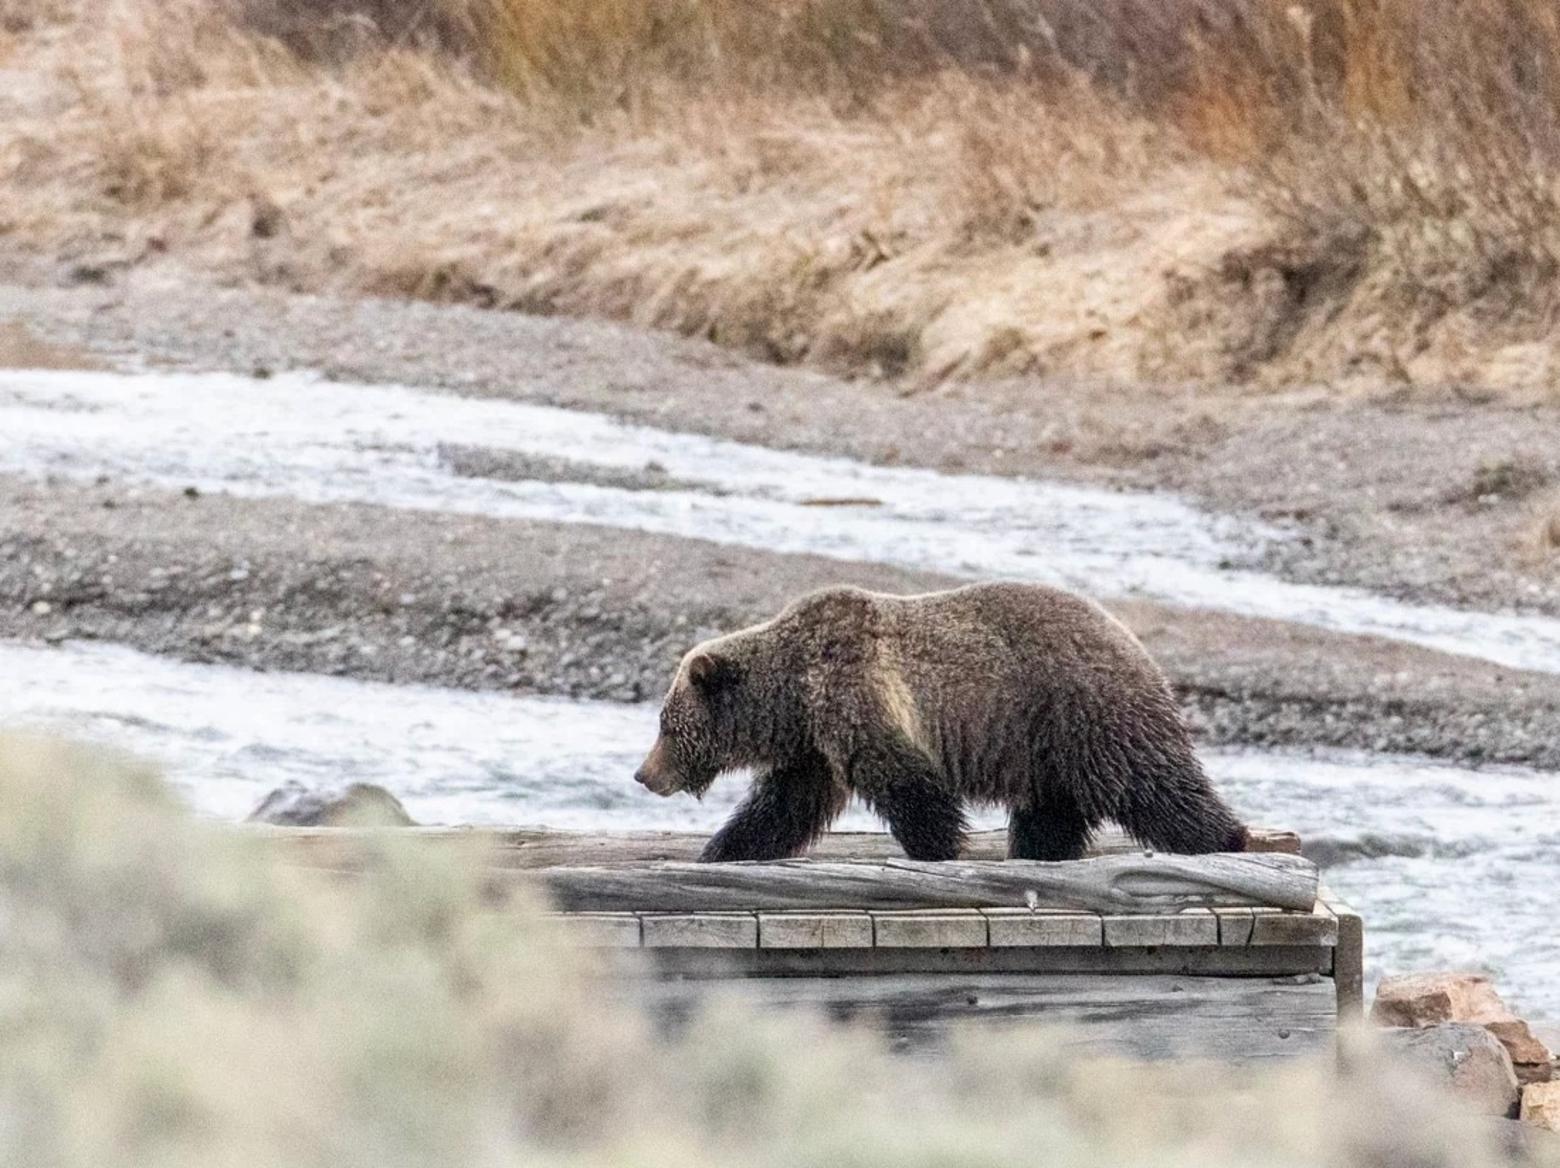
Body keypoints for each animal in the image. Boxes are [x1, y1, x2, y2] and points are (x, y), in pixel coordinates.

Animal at [627, 580, 1248, 860]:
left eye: (665, 726)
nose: (643, 773)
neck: (793, 694)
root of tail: (1134, 641)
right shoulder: (814, 743)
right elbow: (785, 804)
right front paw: (724, 847)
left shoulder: (856, 695)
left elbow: (905, 781)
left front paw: (935, 847)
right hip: (1045, 742)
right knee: (1052, 808)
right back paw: (1038, 850)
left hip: (1086, 710)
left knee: (1151, 783)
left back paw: (1225, 836)